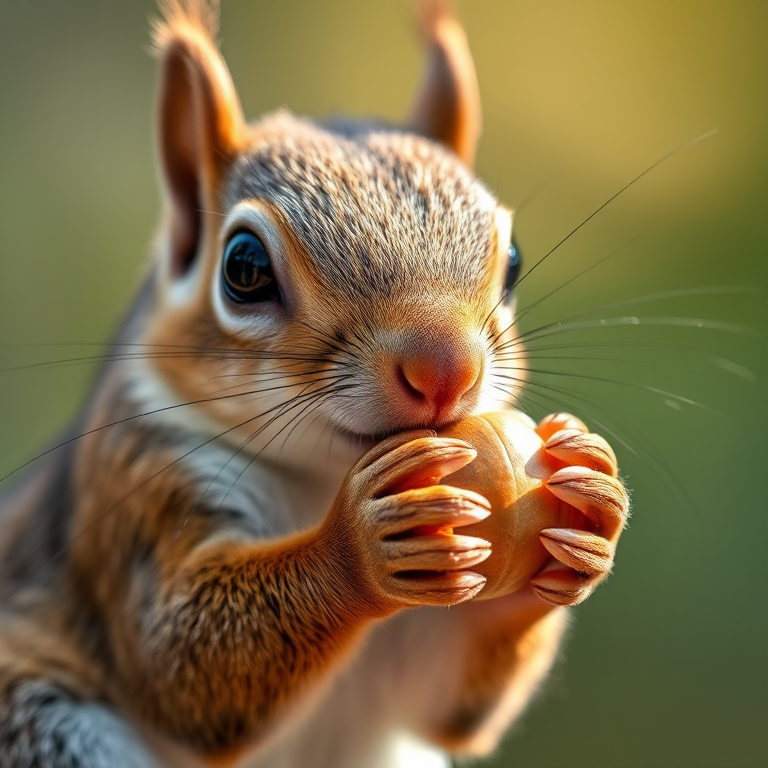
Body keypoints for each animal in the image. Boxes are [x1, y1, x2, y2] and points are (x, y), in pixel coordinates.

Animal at [0, 1, 628, 767]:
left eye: (512, 260)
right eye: (243, 268)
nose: (446, 368)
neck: (321, 479)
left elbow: (450, 704)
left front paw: (590, 501)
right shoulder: (132, 497)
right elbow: (180, 661)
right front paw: (359, 543)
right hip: (47, 727)